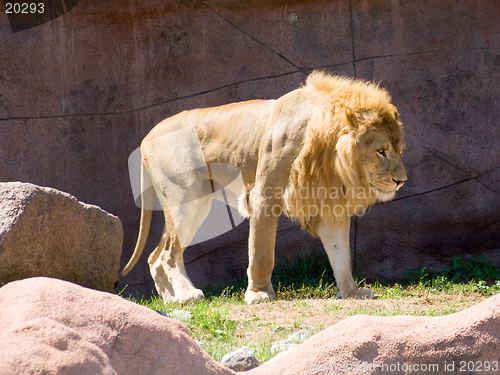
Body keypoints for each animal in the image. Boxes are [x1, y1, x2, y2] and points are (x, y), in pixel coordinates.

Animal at [116, 71, 406, 306]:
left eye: (399, 149)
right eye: (381, 151)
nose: (401, 180)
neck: (327, 155)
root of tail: (147, 136)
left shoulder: (329, 206)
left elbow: (341, 254)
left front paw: (352, 292)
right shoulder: (264, 196)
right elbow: (261, 251)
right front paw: (259, 293)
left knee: (154, 257)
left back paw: (170, 300)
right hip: (187, 200)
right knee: (167, 254)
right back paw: (187, 295)